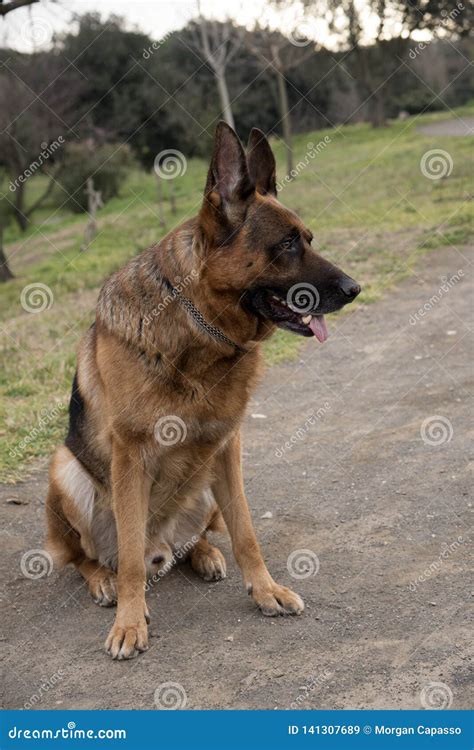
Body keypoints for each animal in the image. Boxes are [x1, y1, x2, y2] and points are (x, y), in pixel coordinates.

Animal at [46, 123, 362, 656]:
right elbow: (128, 555)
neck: (200, 326)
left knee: (195, 538)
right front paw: (130, 622)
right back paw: (104, 581)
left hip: (205, 485)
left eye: (308, 240)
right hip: (64, 470)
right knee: (95, 557)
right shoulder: (130, 454)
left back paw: (205, 555)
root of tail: (163, 547)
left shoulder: (228, 445)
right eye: (287, 245)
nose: (355, 289)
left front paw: (266, 589)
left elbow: (247, 532)